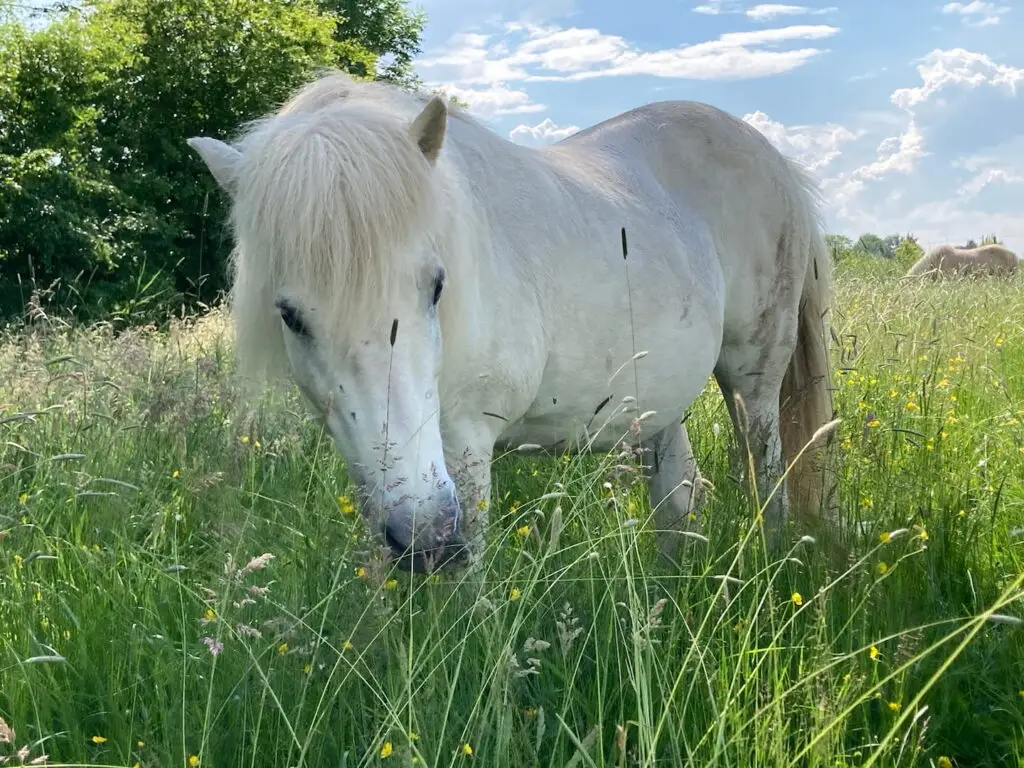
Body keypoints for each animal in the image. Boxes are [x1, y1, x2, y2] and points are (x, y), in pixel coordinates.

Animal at [187, 70, 837, 574]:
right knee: (677, 500)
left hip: (753, 381)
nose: (425, 536)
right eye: (290, 316)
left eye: (436, 286)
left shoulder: (467, 447)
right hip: (659, 404)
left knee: (769, 478)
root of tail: (775, 159)